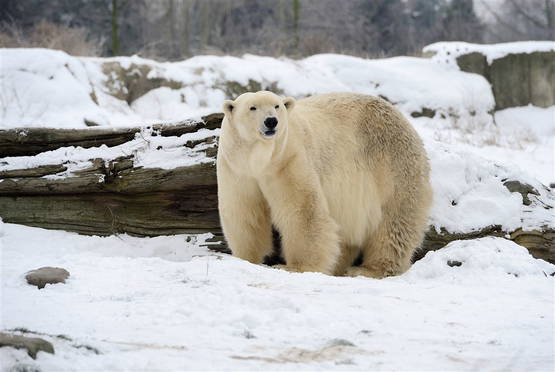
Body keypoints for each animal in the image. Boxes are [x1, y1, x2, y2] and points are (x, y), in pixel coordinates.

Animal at [217, 91, 434, 276]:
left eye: (277, 106)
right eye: (252, 107)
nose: (271, 121)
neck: (261, 159)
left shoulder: (290, 158)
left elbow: (302, 210)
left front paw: (295, 267)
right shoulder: (237, 169)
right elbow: (244, 211)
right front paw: (246, 259)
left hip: (393, 166)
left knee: (393, 222)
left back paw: (368, 269)